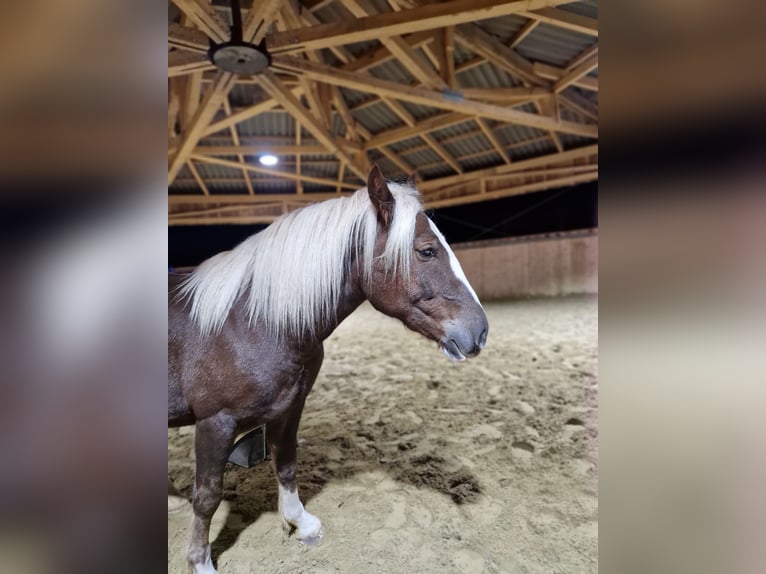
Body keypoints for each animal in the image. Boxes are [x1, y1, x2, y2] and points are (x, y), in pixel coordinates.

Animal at [169, 165, 488, 574]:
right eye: (427, 250)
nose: (480, 331)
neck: (252, 321)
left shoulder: (290, 408)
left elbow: (286, 464)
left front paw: (301, 523)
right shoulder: (215, 423)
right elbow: (207, 496)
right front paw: (200, 562)